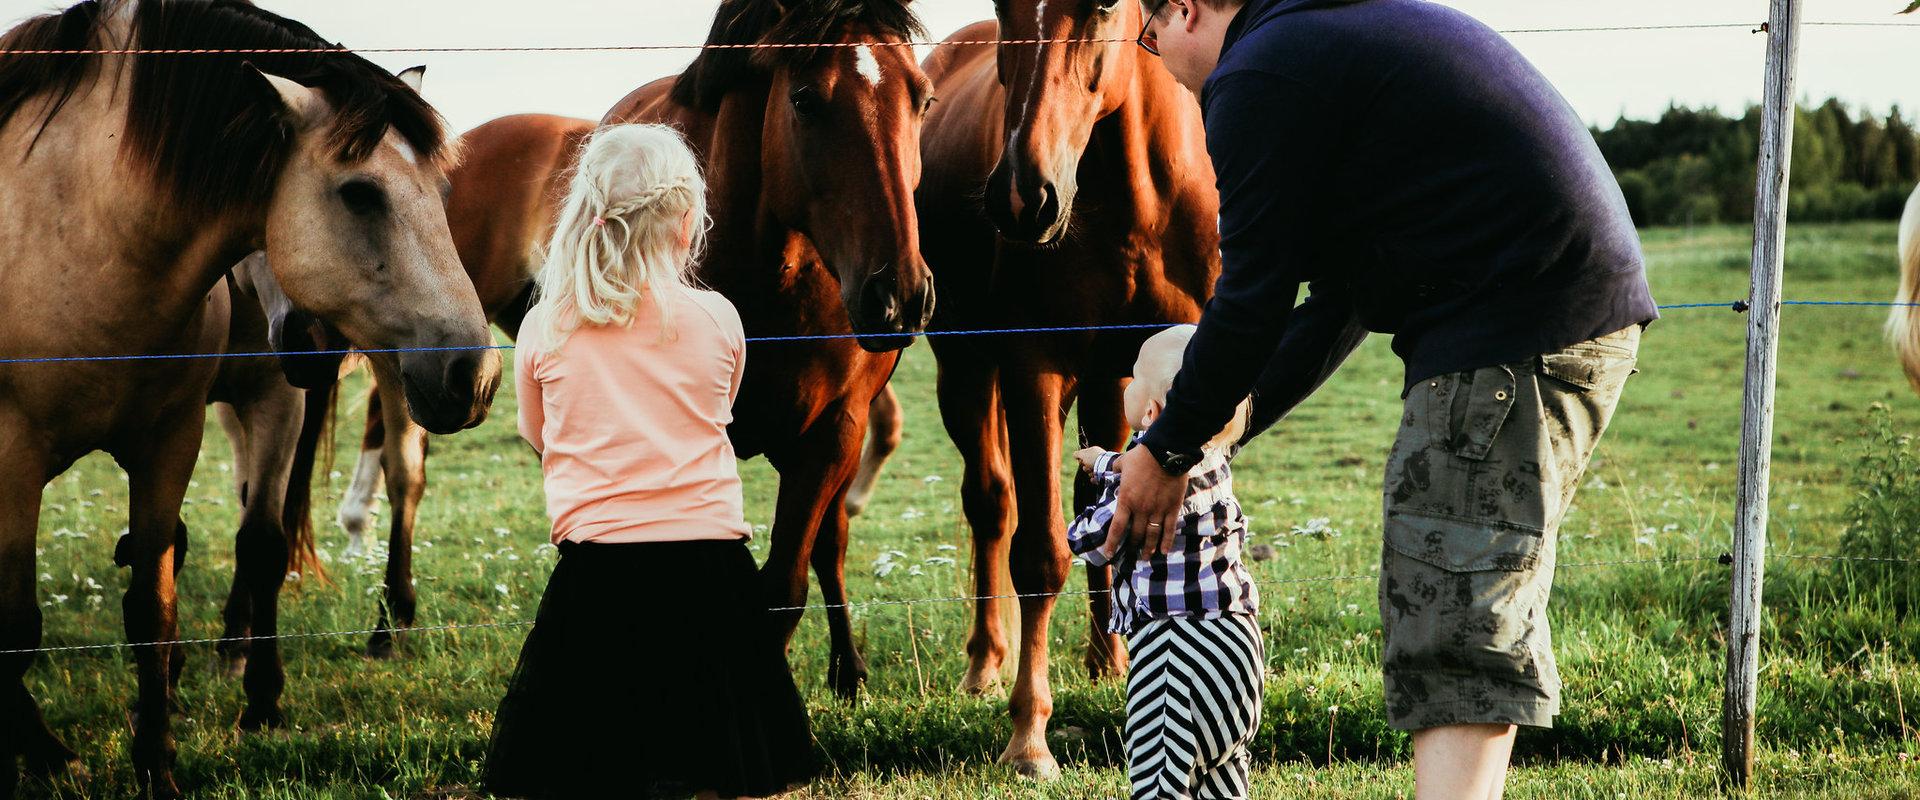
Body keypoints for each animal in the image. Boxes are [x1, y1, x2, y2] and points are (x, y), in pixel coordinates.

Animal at [0, 3, 503, 794]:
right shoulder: (16, 454)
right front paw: (49, 751)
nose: (473, 375)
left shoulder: (212, 423)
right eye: (360, 192)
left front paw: (232, 715)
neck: (75, 233)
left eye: (444, 196)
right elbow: (20, 629)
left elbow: (194, 580)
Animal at [599, 0, 929, 694]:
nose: (898, 296)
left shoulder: (832, 432)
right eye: (804, 98)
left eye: (923, 98)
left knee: (830, 543)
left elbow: (783, 587)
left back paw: (848, 670)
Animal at [913, 0, 1213, 775]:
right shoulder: (1033, 369)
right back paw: (986, 665)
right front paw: (1029, 736)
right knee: (991, 505)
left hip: (1112, 382)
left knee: (1099, 498)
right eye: (1002, 6)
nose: (1023, 198)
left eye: (1102, 7)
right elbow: (1039, 549)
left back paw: (1109, 657)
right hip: (965, 374)